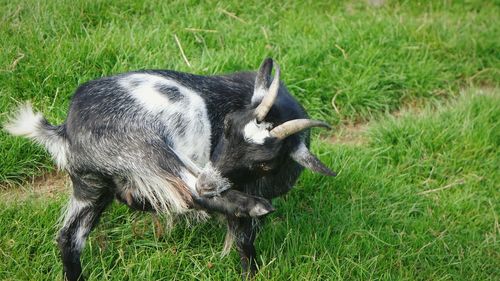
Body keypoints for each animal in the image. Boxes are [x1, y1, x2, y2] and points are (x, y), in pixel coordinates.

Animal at [4, 58, 336, 278]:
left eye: (265, 162)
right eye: (227, 126)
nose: (209, 181)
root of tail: (67, 128)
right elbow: (243, 238)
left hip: (92, 185)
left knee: (68, 238)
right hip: (145, 146)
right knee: (187, 191)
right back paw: (249, 205)